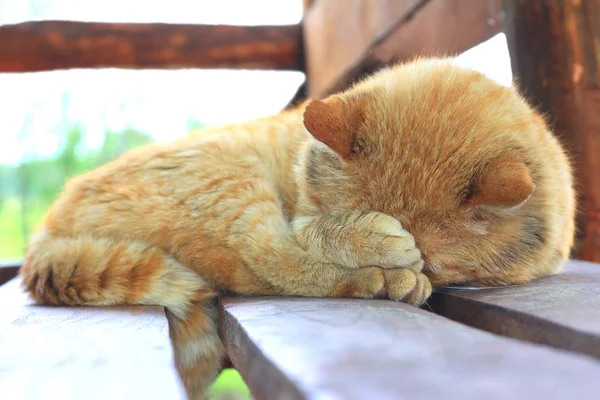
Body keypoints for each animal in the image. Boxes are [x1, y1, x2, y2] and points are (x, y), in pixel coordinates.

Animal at [18, 57, 576, 398]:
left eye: (439, 260)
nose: (417, 263)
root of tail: (43, 240)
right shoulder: (302, 214)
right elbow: (312, 233)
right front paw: (376, 243)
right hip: (230, 185)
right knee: (268, 260)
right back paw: (384, 278)